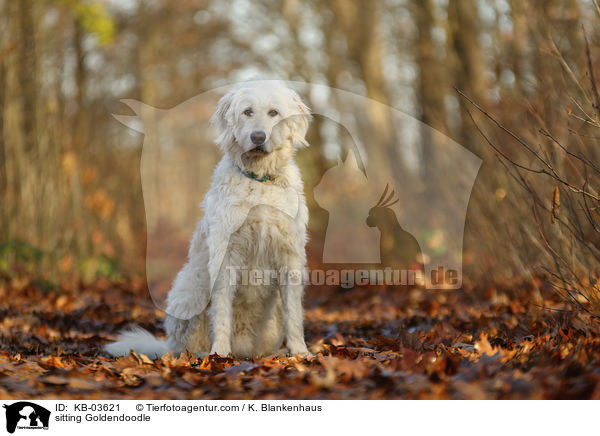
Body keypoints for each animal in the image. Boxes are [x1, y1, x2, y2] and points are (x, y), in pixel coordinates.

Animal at [105, 81, 312, 358]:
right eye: (247, 111)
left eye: (274, 112)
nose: (258, 137)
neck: (258, 180)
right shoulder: (226, 254)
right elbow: (222, 311)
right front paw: (220, 353)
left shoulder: (289, 255)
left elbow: (294, 314)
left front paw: (301, 352)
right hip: (189, 290)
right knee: (185, 345)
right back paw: (204, 355)